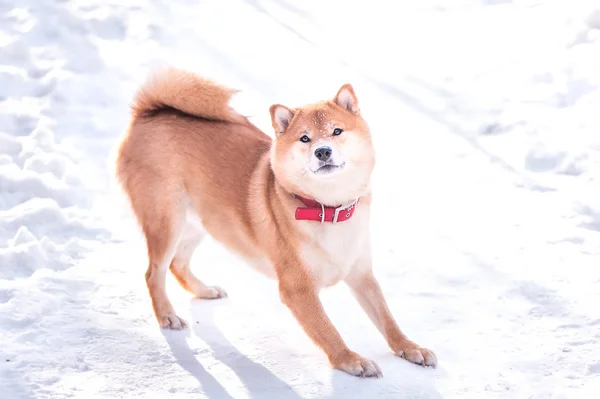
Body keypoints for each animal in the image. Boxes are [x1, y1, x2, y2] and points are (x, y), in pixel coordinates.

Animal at [116, 68, 436, 378]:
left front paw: (410, 348)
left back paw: (204, 290)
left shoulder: (362, 275)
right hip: (167, 220)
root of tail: (148, 112)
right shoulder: (298, 289)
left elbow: (387, 319)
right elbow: (327, 329)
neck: (327, 209)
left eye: (337, 131)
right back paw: (167, 314)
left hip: (201, 222)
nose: (323, 151)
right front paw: (350, 359)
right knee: (154, 272)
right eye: (305, 138)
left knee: (178, 265)